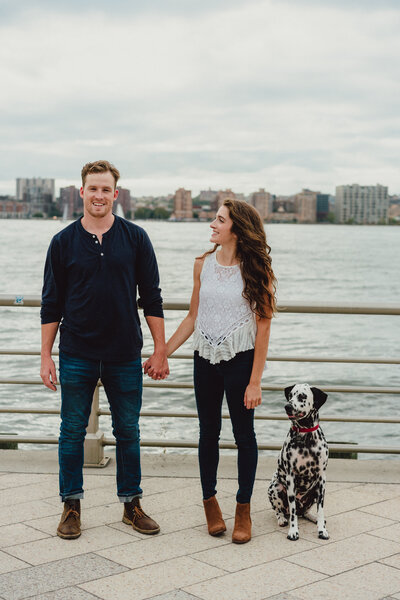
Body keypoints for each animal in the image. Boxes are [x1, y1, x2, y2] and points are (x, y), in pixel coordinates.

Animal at [268, 384, 330, 544]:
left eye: (302, 396)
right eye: (290, 395)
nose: (287, 406)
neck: (306, 436)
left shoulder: (322, 479)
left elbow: (321, 510)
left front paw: (322, 530)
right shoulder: (290, 478)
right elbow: (293, 512)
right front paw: (293, 531)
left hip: (314, 491)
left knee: (306, 512)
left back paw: (314, 518)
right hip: (275, 487)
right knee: (282, 511)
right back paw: (282, 519)